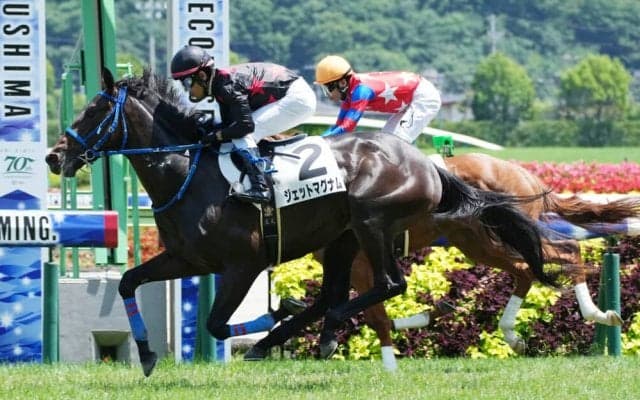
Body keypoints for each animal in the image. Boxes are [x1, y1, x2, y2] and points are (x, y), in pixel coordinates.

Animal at [45, 69, 552, 377]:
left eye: (95, 111)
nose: (54, 156)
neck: (187, 171)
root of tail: (426, 165)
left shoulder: (243, 264)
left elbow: (216, 324)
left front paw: (274, 316)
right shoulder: (186, 258)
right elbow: (128, 282)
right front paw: (148, 354)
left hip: (372, 223)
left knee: (388, 285)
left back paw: (320, 326)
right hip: (345, 238)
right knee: (338, 293)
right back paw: (306, 331)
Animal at [244, 153, 639, 370]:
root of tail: (523, 173)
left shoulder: (360, 264)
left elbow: (374, 315)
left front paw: (387, 361)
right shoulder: (355, 264)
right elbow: (370, 312)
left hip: (501, 231)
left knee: (566, 251)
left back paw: (599, 314)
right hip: (477, 242)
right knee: (526, 270)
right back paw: (512, 335)